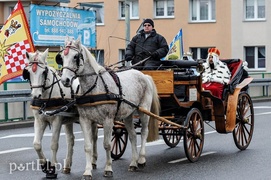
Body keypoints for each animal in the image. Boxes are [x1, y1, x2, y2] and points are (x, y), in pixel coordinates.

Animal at [22, 48, 82, 179]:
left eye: (44, 72)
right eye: (28, 72)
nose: (36, 95)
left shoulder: (57, 120)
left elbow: (54, 144)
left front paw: (52, 169)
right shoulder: (39, 120)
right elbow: (36, 144)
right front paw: (45, 165)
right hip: (69, 121)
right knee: (71, 139)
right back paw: (67, 166)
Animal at [57, 36, 159, 179]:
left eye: (76, 56)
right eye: (61, 57)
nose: (65, 80)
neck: (94, 88)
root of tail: (144, 75)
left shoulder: (108, 120)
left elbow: (107, 145)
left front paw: (108, 169)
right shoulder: (85, 120)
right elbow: (87, 146)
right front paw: (87, 171)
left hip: (143, 111)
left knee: (144, 132)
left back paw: (141, 159)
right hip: (128, 115)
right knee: (133, 136)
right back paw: (133, 163)